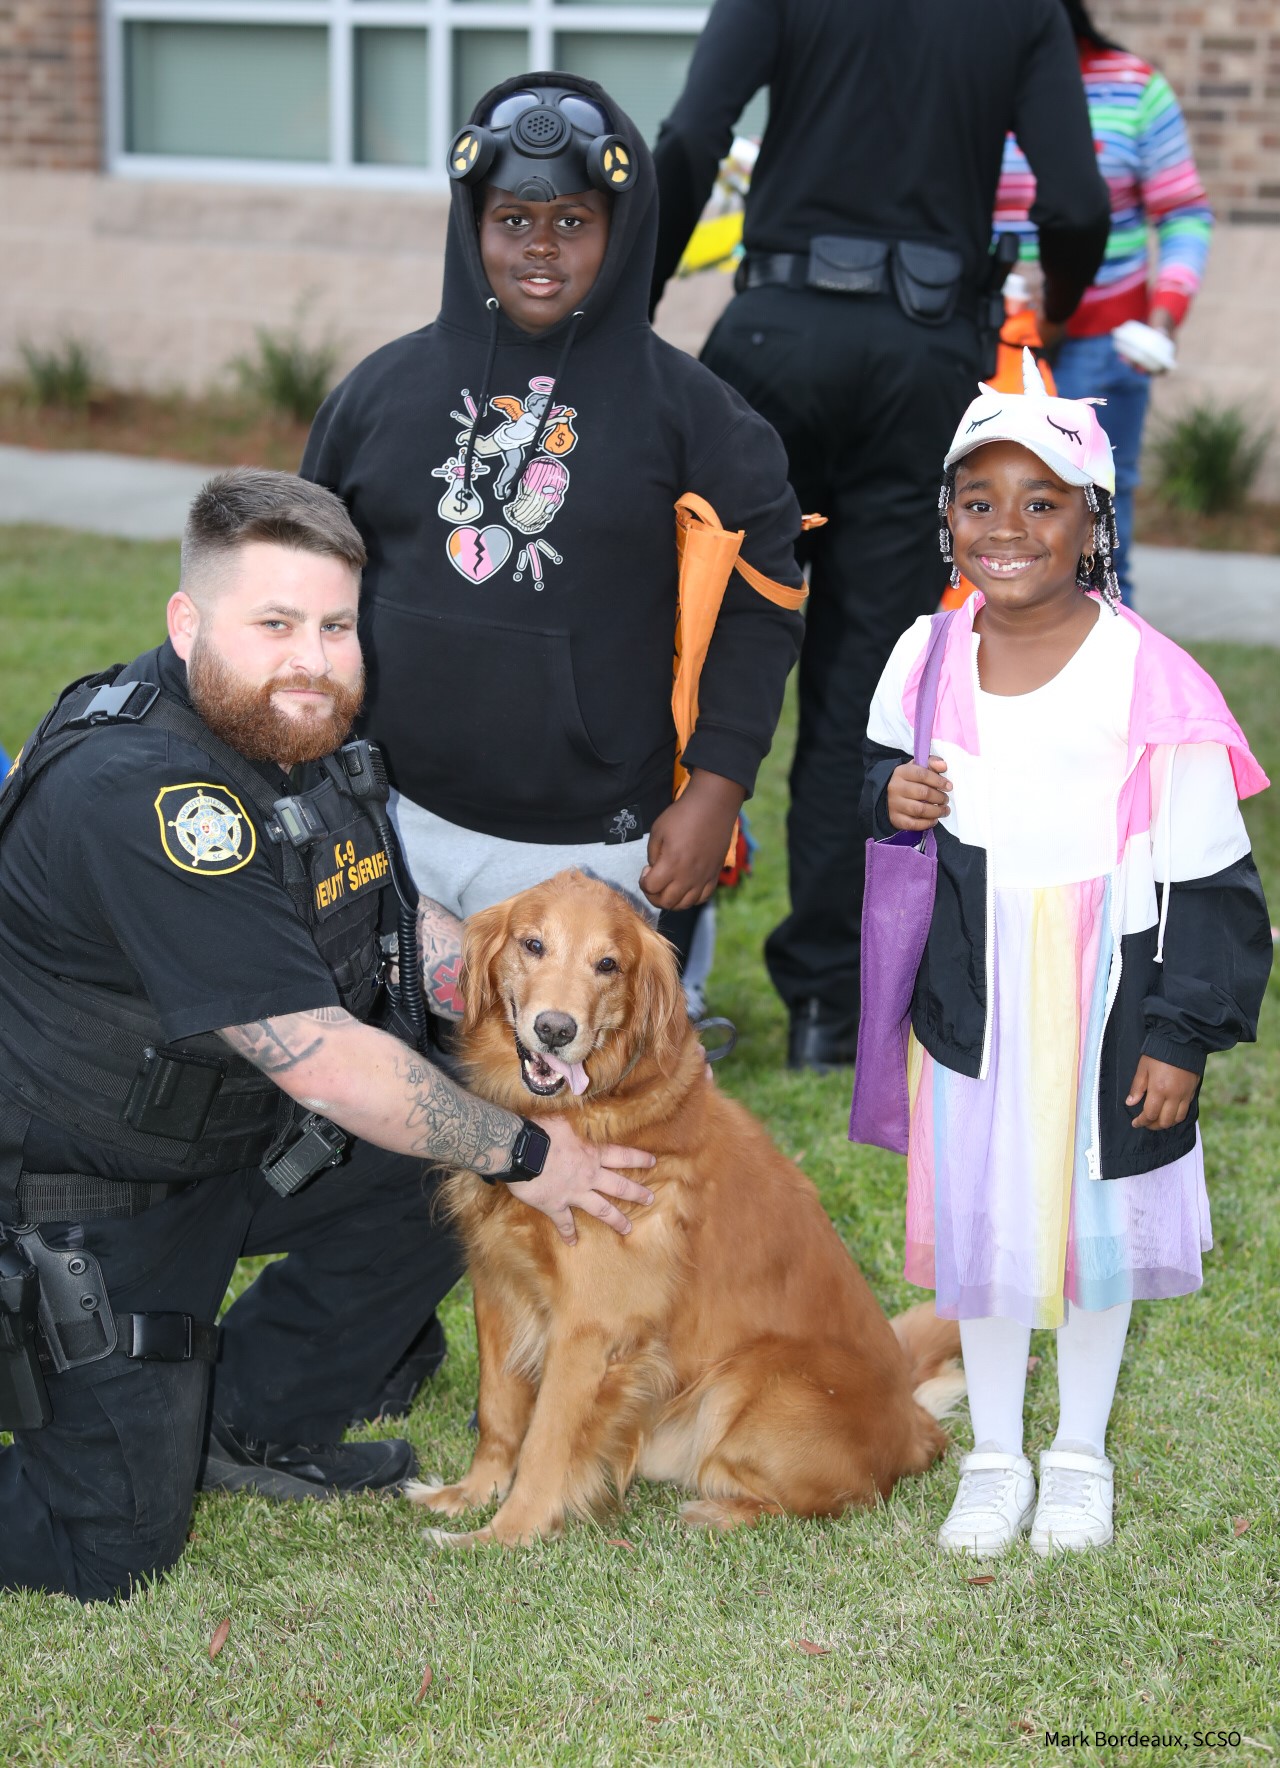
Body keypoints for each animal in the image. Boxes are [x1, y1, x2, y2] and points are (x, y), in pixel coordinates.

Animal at [410, 873, 961, 1548]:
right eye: (533, 944)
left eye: (608, 965)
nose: (556, 1029)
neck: (586, 1110)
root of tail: (916, 1424)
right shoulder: (497, 1286)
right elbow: (499, 1413)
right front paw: (469, 1495)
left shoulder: (591, 1326)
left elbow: (545, 1443)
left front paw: (504, 1537)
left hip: (745, 1382)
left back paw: (714, 1511)